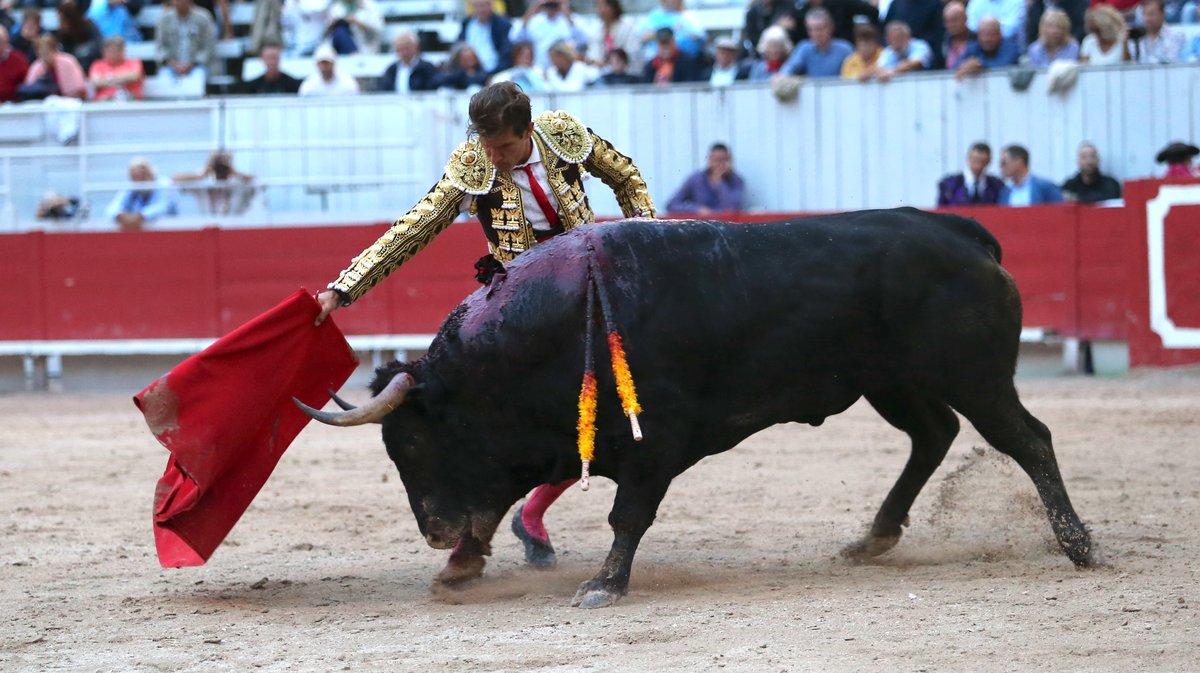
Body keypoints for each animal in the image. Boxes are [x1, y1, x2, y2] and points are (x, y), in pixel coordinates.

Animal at [297, 207, 1099, 607]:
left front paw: (604, 585)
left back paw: (1078, 544)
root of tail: (965, 234)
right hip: (894, 381)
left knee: (1028, 437)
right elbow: (517, 501)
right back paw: (872, 538)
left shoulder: (654, 442)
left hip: (974, 375)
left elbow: (626, 514)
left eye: (411, 444)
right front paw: (463, 568)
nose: (433, 532)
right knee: (933, 436)